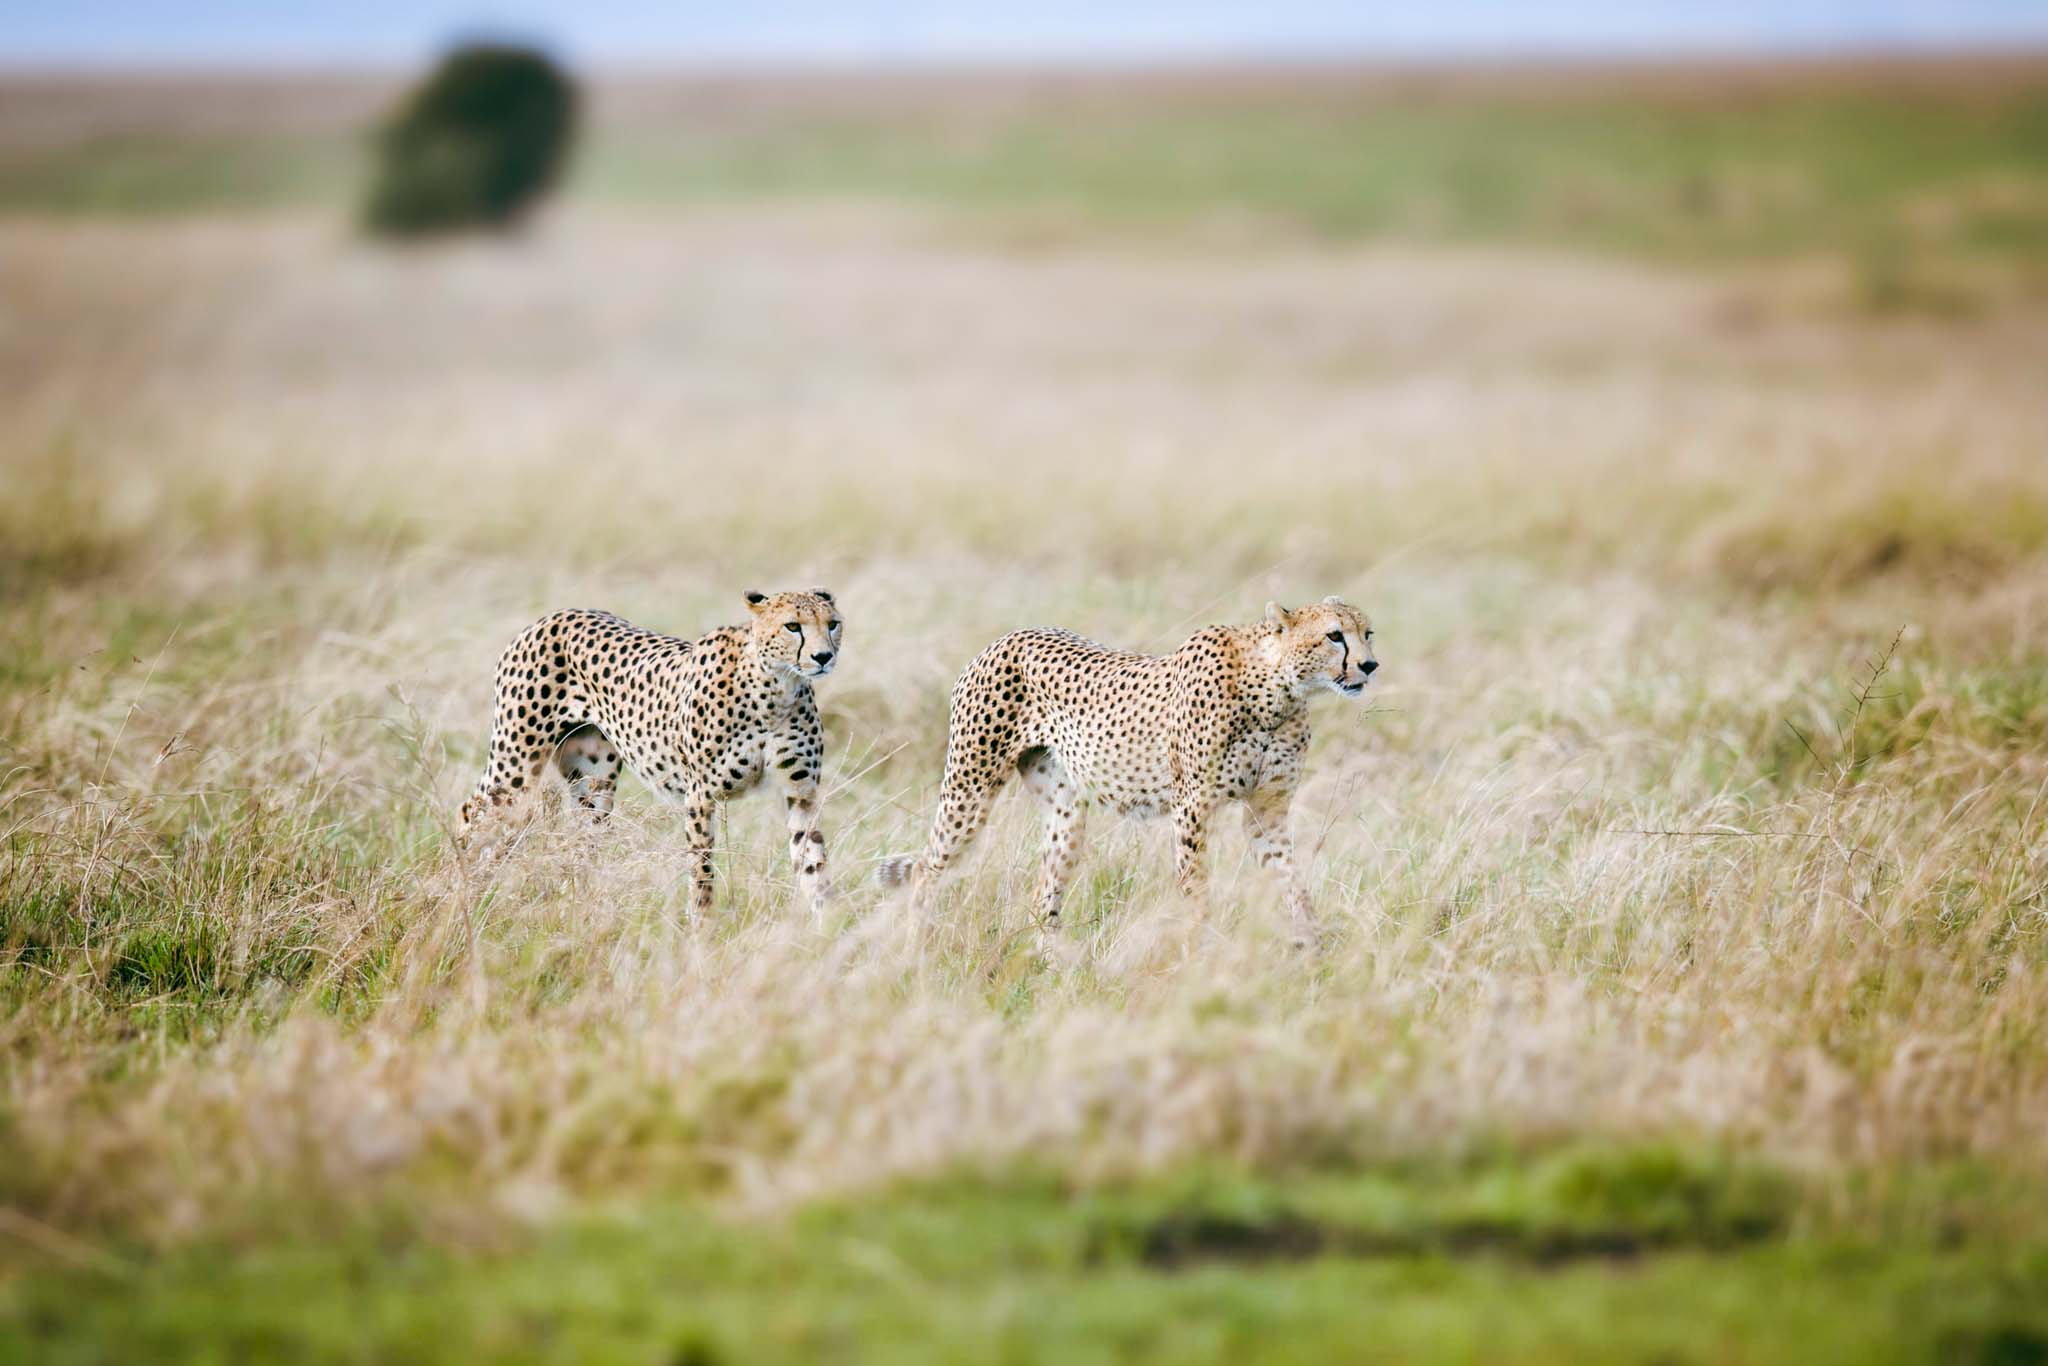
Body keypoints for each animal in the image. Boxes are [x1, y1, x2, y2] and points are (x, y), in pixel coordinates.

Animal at [460, 589, 843, 917]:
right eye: (793, 626)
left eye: (832, 623)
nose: (824, 657)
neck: (776, 688)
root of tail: (552, 616)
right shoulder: (700, 795)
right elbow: (701, 872)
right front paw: (702, 934)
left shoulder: (800, 793)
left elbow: (813, 862)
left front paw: (825, 927)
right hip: (516, 768)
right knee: (471, 812)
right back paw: (462, 889)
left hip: (594, 780)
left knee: (583, 836)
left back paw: (582, 901)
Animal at [880, 598, 1376, 942]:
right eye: (1334, 636)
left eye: (1368, 633)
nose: (1370, 665)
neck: (1277, 690)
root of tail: (1006, 637)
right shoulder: (1192, 806)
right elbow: (1197, 887)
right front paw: (1204, 951)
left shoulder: (1266, 811)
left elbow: (1293, 883)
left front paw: (1313, 950)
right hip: (970, 789)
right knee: (926, 869)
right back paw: (916, 950)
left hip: (1064, 813)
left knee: (1044, 892)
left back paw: (1056, 968)